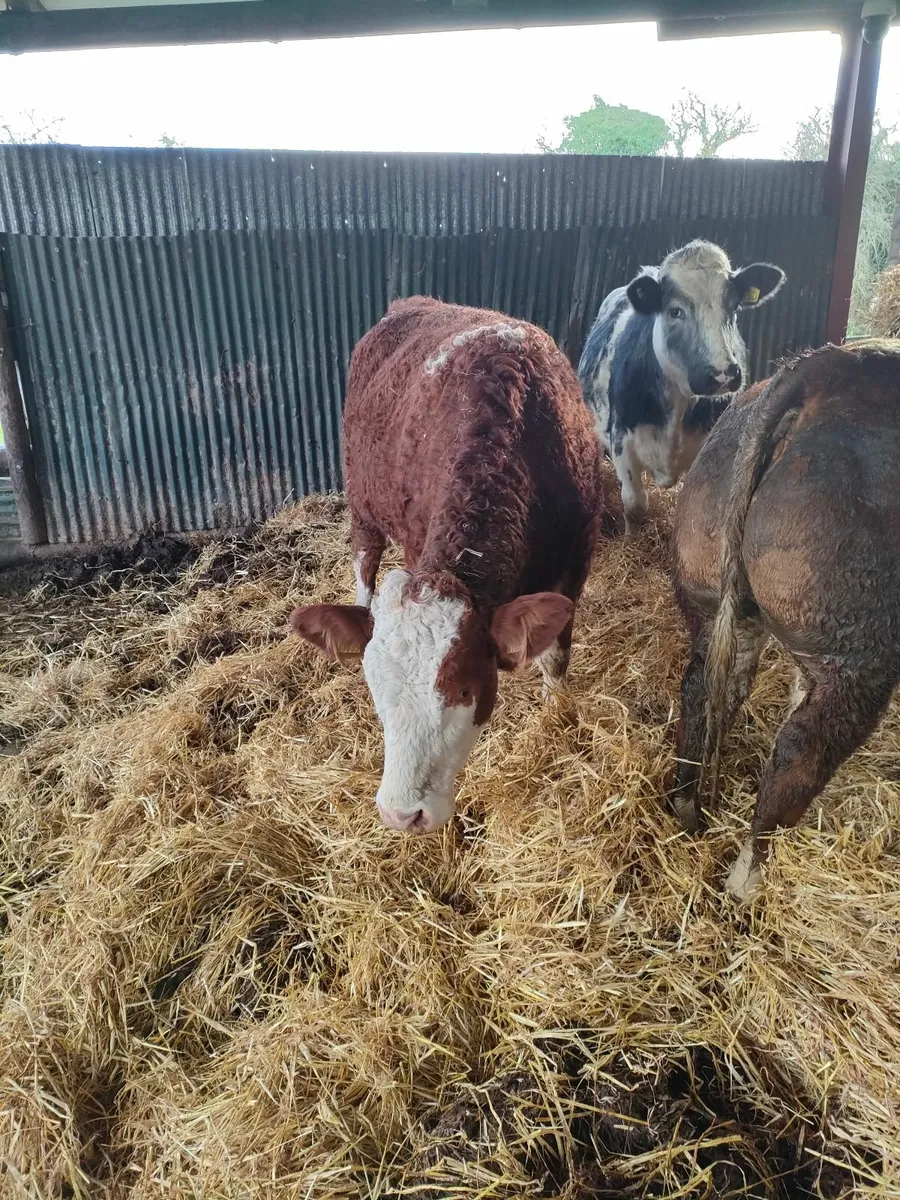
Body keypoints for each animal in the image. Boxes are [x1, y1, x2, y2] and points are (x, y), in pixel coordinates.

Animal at [291, 296, 606, 834]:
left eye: (463, 688)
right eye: (375, 687)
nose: (401, 814)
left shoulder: (577, 558)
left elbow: (556, 658)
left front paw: (555, 717)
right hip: (362, 504)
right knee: (364, 569)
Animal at [578, 240, 785, 534]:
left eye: (733, 308)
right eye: (675, 311)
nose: (723, 374)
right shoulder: (621, 443)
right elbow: (634, 504)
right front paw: (630, 539)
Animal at [669, 340, 900, 901]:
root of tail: (824, 370)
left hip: (720, 601)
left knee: (708, 687)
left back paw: (688, 809)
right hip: (859, 654)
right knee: (803, 748)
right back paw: (746, 881)